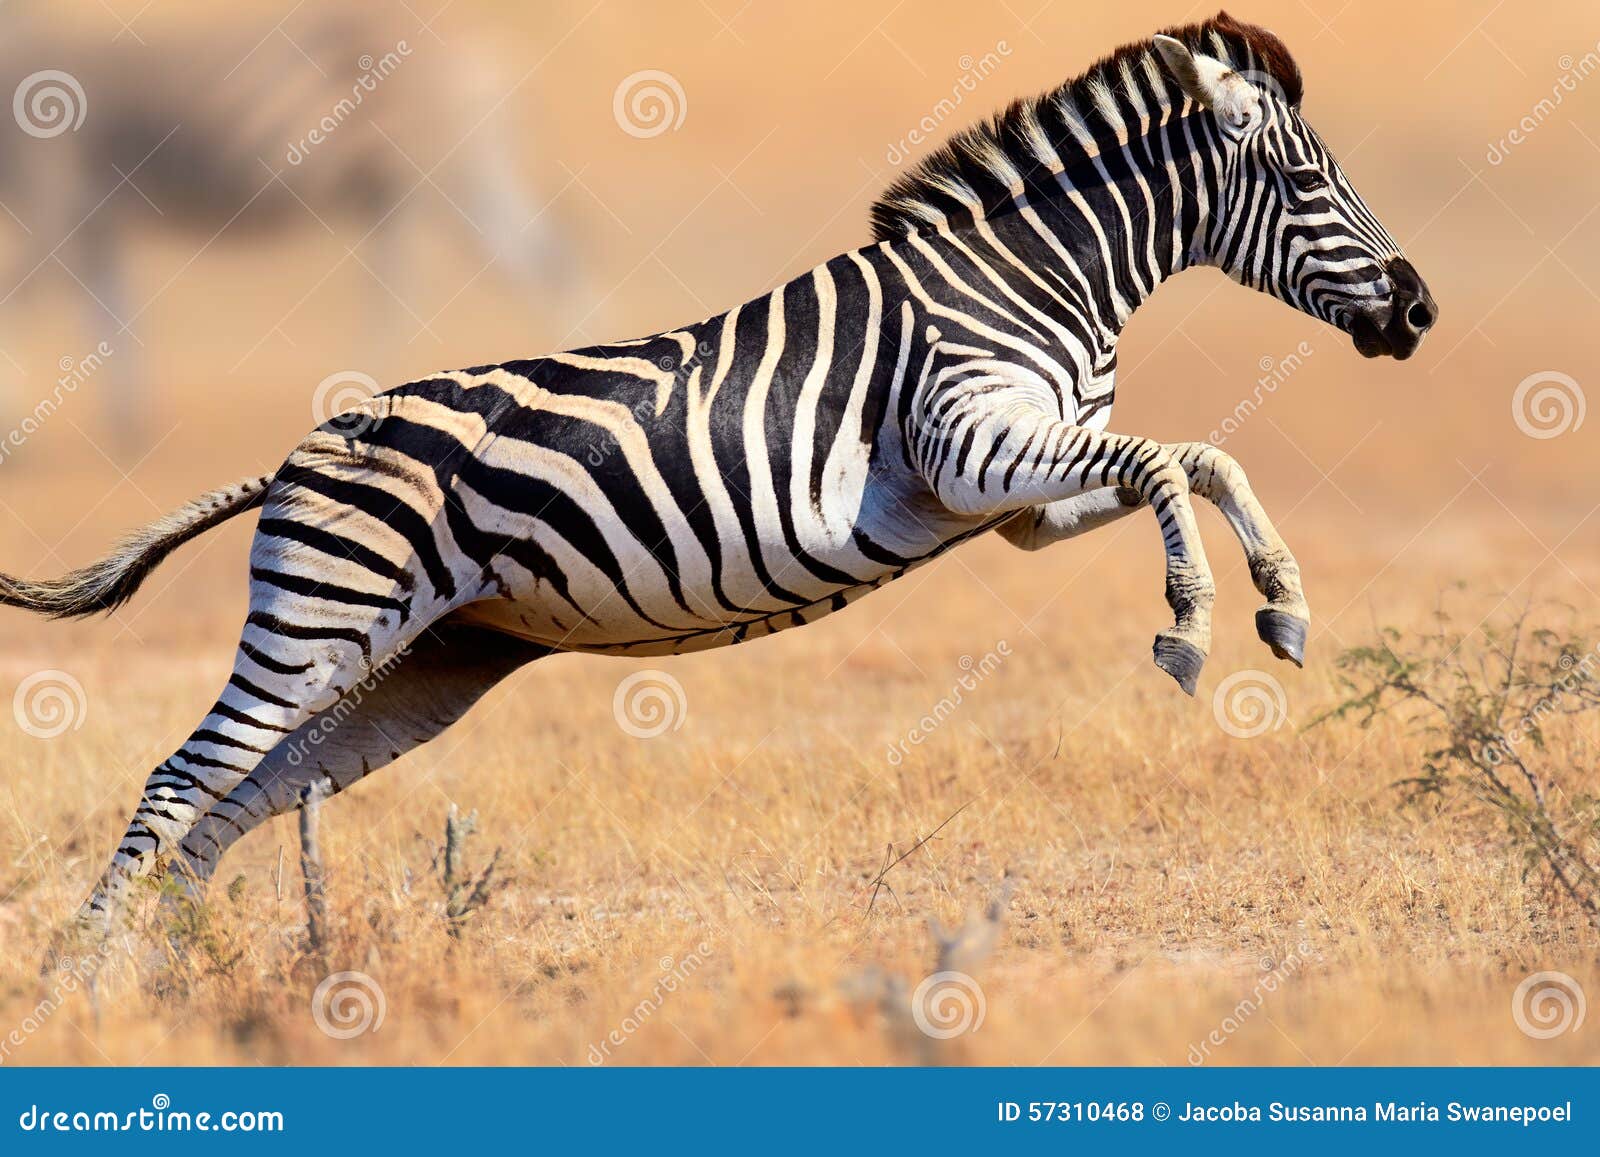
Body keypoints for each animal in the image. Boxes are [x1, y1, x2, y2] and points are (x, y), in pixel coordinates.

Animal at [3, 11, 1440, 934]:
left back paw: (187, 979)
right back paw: (96, 983)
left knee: (237, 803)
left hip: (421, 658)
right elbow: (1177, 457)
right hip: (321, 615)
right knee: (182, 780)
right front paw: (1196, 624)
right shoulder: (970, 441)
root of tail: (299, 451)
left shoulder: (1015, 502)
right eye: (1308, 181)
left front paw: (1278, 606)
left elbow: (1192, 459)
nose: (1418, 312)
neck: (1036, 279)